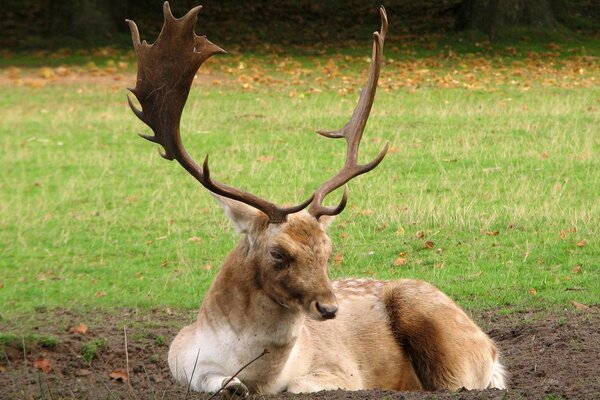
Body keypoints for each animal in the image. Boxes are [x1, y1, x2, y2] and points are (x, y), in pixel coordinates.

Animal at [125, 2, 506, 396]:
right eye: (278, 253)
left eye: (327, 249)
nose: (329, 308)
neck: (259, 375)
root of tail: (494, 353)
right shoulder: (181, 360)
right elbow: (217, 382)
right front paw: (232, 385)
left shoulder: (344, 371)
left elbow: (297, 386)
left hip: (444, 338)